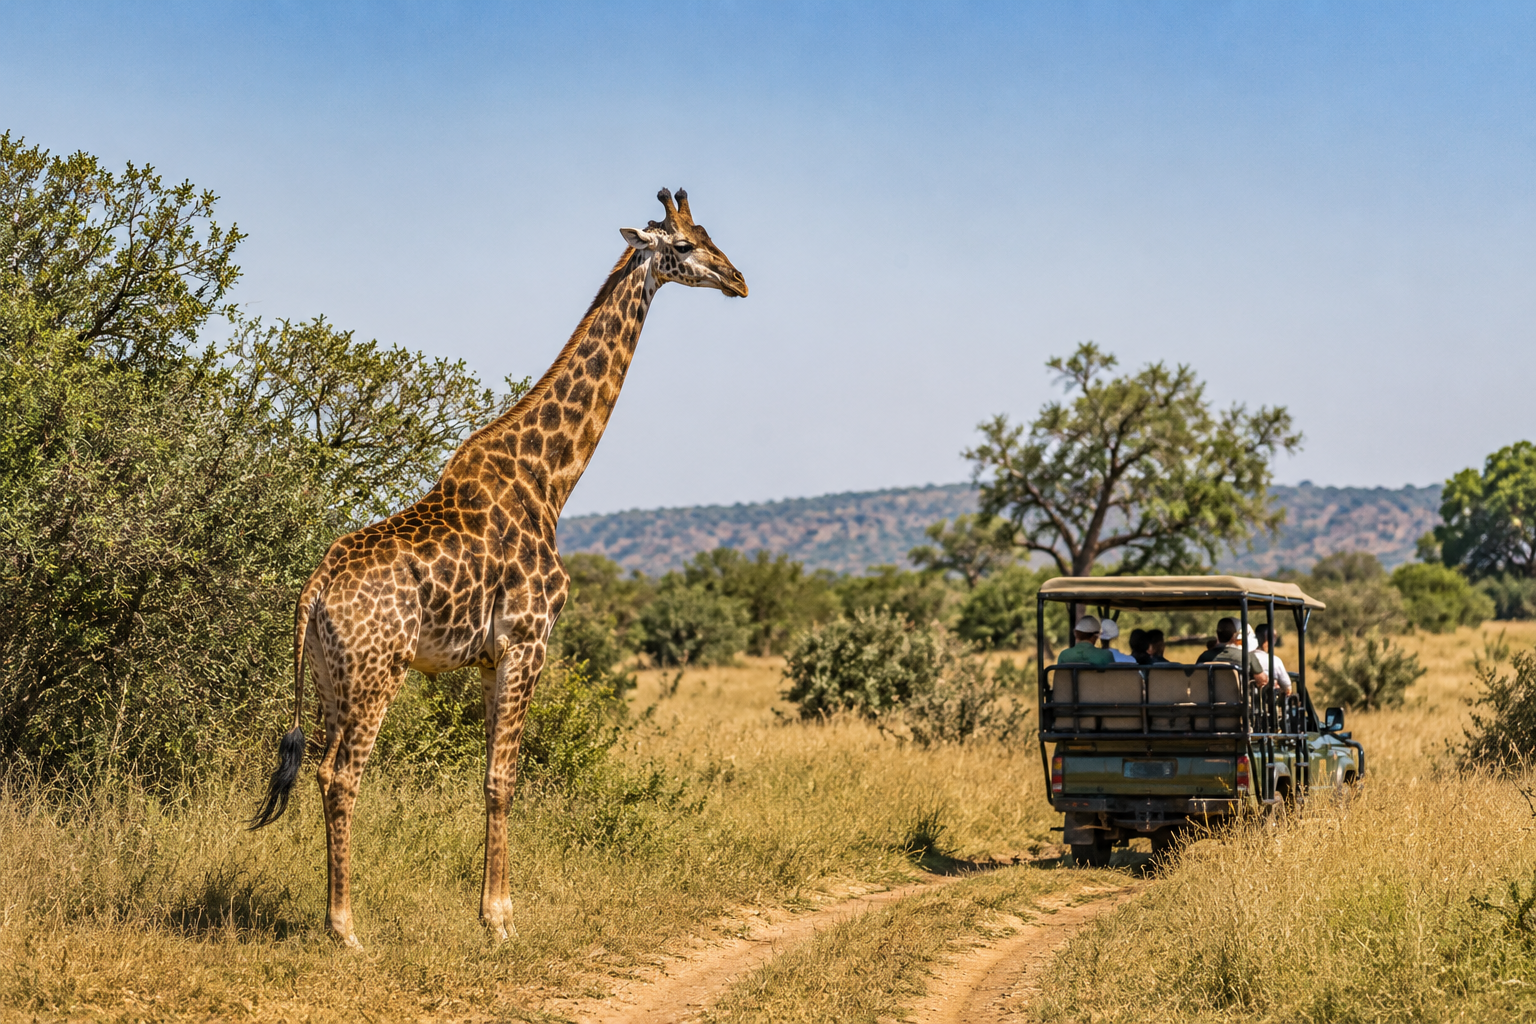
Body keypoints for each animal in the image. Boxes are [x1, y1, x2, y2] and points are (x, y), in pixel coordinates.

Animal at [249, 188, 746, 949]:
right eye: (686, 246)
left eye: (711, 235)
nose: (739, 280)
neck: (551, 478)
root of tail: (315, 587)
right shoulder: (527, 641)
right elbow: (503, 778)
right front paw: (500, 920)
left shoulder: (487, 657)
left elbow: (489, 775)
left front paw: (494, 913)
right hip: (375, 671)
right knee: (341, 775)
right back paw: (345, 928)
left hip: (331, 676)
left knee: (322, 771)